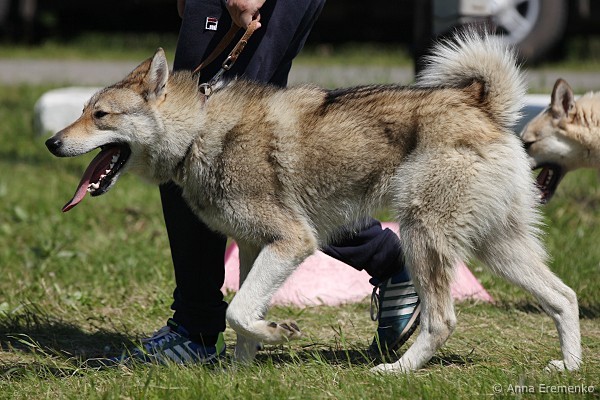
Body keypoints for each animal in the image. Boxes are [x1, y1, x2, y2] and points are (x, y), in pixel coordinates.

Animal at [45, 31, 581, 373]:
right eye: (83, 111)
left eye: (100, 115)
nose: (51, 142)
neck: (199, 131)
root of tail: (483, 106)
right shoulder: (256, 248)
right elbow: (242, 316)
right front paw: (237, 376)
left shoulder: (294, 241)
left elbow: (238, 312)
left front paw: (277, 333)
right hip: (498, 248)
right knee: (564, 297)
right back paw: (569, 368)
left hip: (423, 235)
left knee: (442, 320)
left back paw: (396, 372)